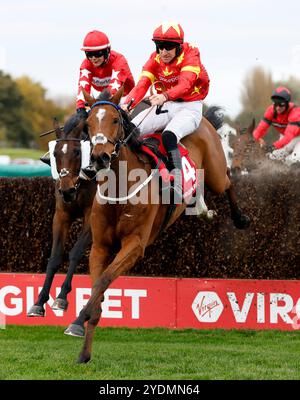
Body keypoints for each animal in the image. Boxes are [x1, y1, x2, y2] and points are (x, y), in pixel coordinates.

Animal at [27, 114, 96, 318]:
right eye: (56, 153)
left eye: (77, 152)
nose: (66, 190)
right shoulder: (61, 215)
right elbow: (55, 256)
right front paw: (39, 302)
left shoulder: (92, 215)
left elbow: (76, 252)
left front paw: (62, 297)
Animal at [65, 88, 251, 362]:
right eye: (88, 124)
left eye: (115, 120)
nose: (99, 158)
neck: (121, 186)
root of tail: (204, 119)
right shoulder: (100, 246)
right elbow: (98, 286)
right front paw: (82, 345)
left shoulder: (135, 245)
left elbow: (104, 280)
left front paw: (81, 316)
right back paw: (204, 210)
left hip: (215, 169)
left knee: (226, 181)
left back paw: (240, 218)